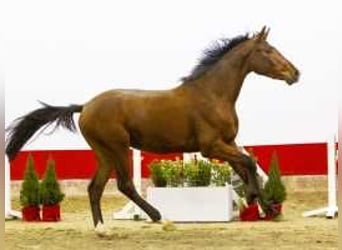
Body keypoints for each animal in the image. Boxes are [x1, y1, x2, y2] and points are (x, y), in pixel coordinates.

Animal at [5, 26, 300, 228]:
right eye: (268, 51)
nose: (295, 73)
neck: (213, 95)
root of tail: (85, 106)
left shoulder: (227, 143)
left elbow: (246, 166)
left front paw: (265, 207)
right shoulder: (211, 146)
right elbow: (249, 163)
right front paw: (258, 202)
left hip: (104, 153)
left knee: (95, 187)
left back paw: (102, 229)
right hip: (118, 147)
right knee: (124, 185)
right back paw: (159, 217)